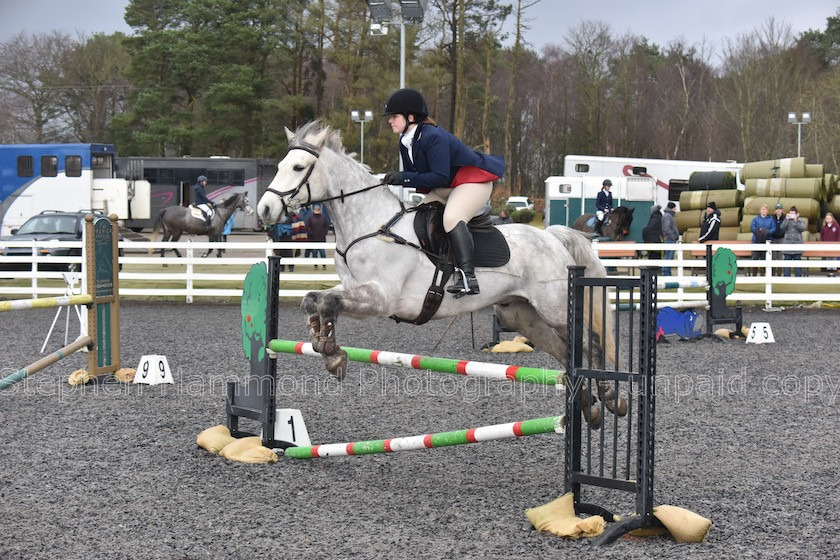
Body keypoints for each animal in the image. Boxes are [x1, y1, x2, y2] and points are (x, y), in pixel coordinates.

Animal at [258, 120, 624, 422]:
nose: (264, 209)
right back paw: (589, 406)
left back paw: (610, 398)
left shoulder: (382, 298)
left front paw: (332, 354)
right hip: (522, 315)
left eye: (298, 167)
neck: (369, 224)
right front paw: (327, 349)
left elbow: (329, 302)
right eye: (279, 166)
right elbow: (314, 300)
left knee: (589, 344)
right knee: (565, 351)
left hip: (555, 307)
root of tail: (552, 236)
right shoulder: (353, 287)